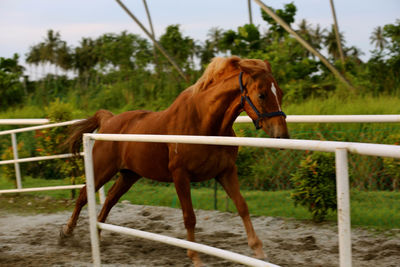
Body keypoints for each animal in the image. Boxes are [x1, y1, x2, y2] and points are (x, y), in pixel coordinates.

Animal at [61, 55, 290, 266]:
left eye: (280, 93)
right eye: (261, 94)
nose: (282, 136)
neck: (205, 125)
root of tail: (109, 120)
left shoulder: (226, 171)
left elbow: (242, 206)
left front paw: (258, 250)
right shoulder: (181, 175)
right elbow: (189, 216)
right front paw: (195, 257)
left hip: (129, 175)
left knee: (109, 200)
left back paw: (98, 234)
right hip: (102, 170)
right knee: (83, 196)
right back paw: (67, 232)